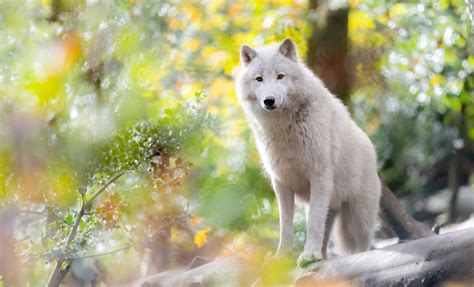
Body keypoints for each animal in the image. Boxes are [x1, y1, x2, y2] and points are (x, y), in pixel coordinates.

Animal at [237, 39, 382, 266]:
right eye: (259, 79)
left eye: (280, 76)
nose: (269, 100)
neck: (284, 129)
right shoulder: (281, 184)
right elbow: (285, 227)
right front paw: (282, 257)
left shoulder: (319, 177)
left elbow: (313, 223)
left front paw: (308, 255)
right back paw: (321, 256)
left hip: (358, 219)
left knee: (362, 246)